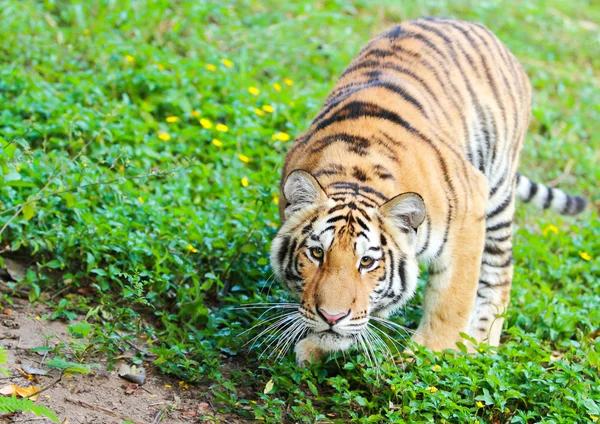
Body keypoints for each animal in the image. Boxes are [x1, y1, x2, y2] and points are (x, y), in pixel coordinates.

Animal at [268, 18, 584, 366]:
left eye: (367, 261)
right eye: (316, 253)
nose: (331, 317)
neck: (355, 176)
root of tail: (474, 25)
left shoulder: (469, 216)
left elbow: (451, 300)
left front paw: (433, 354)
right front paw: (317, 346)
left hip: (498, 188)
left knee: (499, 272)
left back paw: (480, 345)